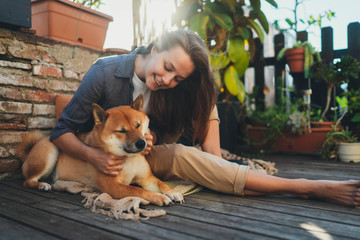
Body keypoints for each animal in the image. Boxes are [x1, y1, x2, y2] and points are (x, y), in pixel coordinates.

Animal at [17, 95, 184, 206]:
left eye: (138, 125)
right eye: (121, 131)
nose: (142, 143)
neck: (128, 159)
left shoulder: (147, 178)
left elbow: (161, 184)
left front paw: (173, 192)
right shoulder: (113, 186)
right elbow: (139, 191)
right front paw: (160, 197)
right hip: (51, 151)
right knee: (27, 181)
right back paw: (41, 185)